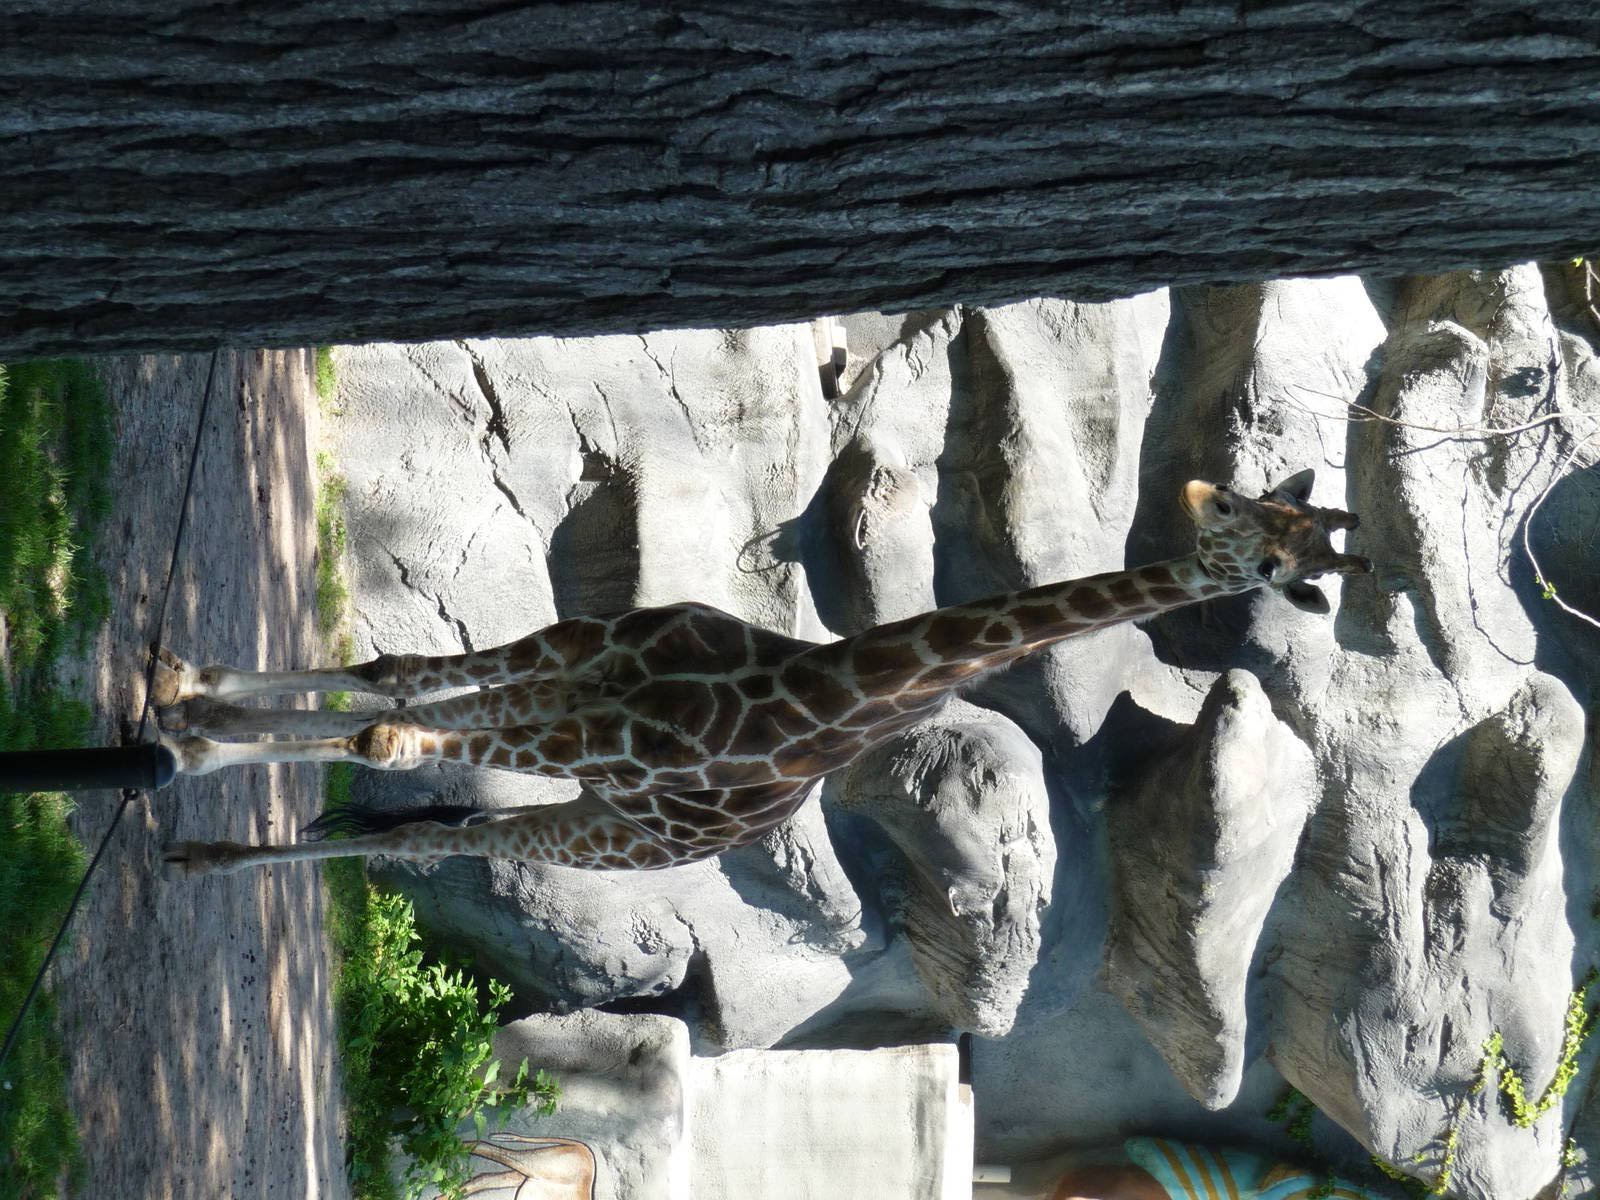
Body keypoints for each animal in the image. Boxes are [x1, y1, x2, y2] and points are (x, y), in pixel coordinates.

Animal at [156, 469, 1369, 879]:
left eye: (1280, 563)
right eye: (1249, 512)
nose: (1203, 507)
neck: (815, 690)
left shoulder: (597, 732)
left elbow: (388, 735)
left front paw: (182, 747)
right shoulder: (572, 662)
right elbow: (396, 680)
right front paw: (185, 691)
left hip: (607, 831)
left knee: (454, 838)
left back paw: (205, 845)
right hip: (579, 759)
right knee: (433, 778)